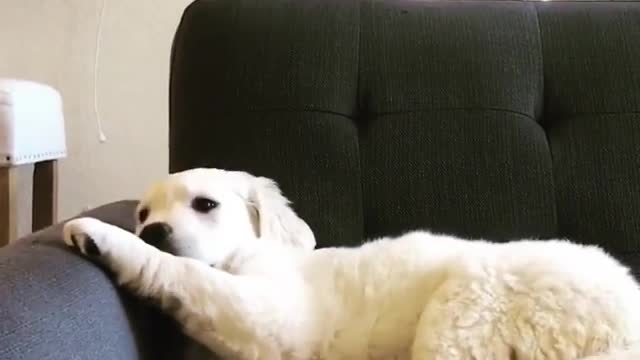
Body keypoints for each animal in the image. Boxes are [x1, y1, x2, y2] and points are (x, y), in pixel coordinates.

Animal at [62, 167, 640, 358]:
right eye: (143, 212)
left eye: (205, 205)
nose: (151, 230)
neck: (247, 253)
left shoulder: (269, 317)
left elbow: (182, 272)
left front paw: (100, 234)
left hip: (469, 305)